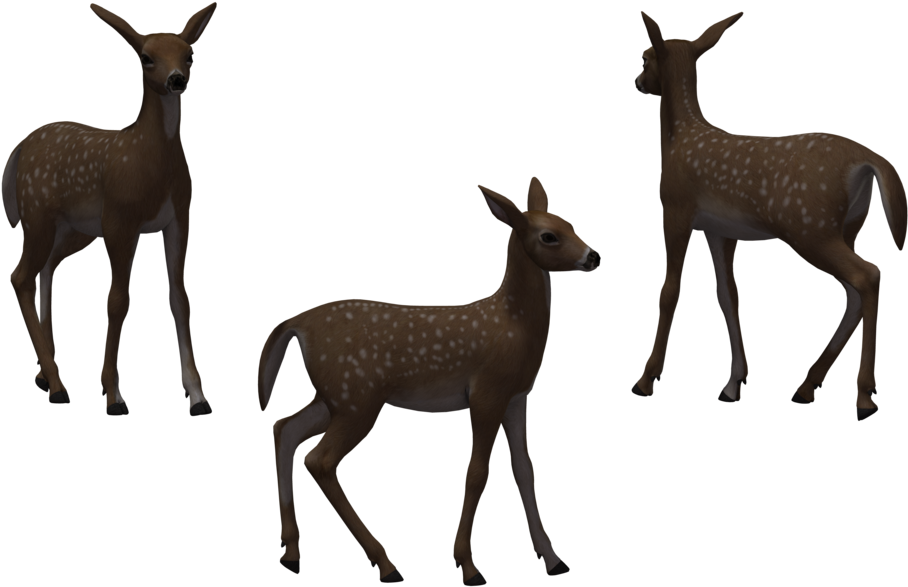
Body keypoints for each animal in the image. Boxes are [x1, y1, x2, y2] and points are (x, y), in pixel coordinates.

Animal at [1, 4, 217, 416]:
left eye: (190, 54)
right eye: (146, 57)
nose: (177, 79)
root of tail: (22, 146)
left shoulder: (180, 218)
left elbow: (180, 298)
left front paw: (198, 397)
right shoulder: (121, 218)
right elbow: (117, 300)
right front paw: (114, 396)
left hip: (75, 228)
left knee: (46, 267)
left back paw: (43, 375)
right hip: (37, 213)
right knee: (20, 275)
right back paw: (57, 386)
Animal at [257, 177, 597, 584]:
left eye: (571, 224)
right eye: (549, 236)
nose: (593, 256)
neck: (512, 326)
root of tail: (296, 323)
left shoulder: (517, 397)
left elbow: (525, 471)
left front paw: (553, 558)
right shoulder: (486, 392)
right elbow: (477, 473)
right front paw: (468, 566)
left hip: (334, 396)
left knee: (284, 427)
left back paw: (291, 551)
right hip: (356, 398)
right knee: (319, 459)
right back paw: (386, 562)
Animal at [632, 11, 907, 422]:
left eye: (645, 57)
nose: (637, 81)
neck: (680, 140)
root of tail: (867, 159)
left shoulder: (676, 210)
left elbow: (670, 290)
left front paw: (647, 378)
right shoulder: (720, 230)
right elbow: (728, 294)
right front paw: (733, 384)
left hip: (810, 228)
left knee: (868, 275)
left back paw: (863, 396)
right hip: (847, 227)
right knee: (854, 290)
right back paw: (807, 387)